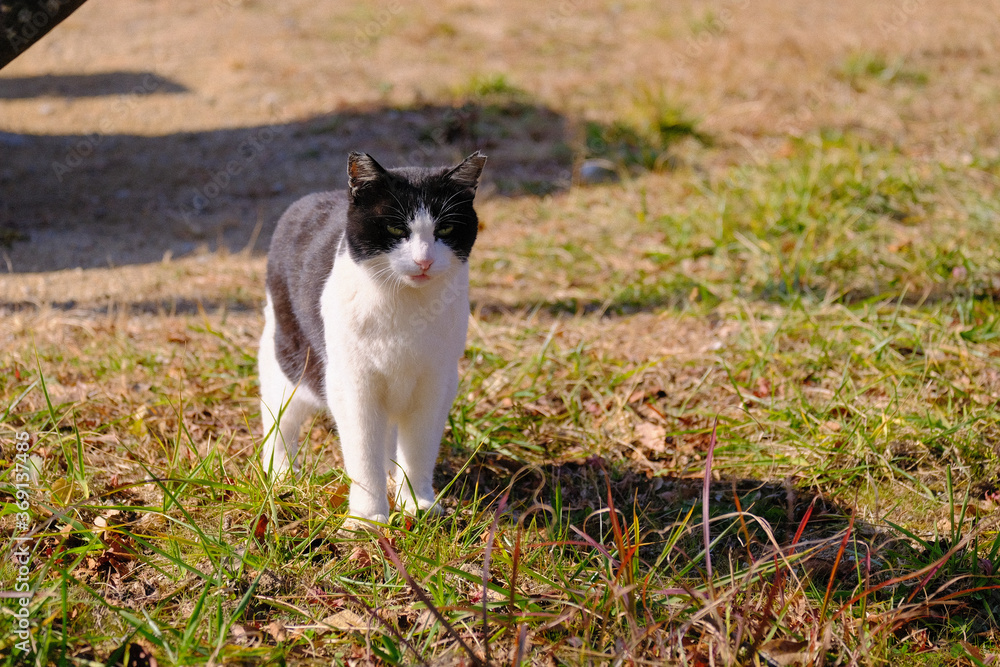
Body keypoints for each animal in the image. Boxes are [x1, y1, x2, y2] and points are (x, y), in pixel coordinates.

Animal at [256, 150, 486, 528]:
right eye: (395, 228)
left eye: (445, 229)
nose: (424, 260)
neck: (407, 306)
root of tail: (309, 199)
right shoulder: (353, 386)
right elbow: (363, 452)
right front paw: (368, 518)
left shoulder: (435, 384)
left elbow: (419, 450)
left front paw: (418, 504)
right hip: (289, 360)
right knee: (279, 420)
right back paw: (281, 475)